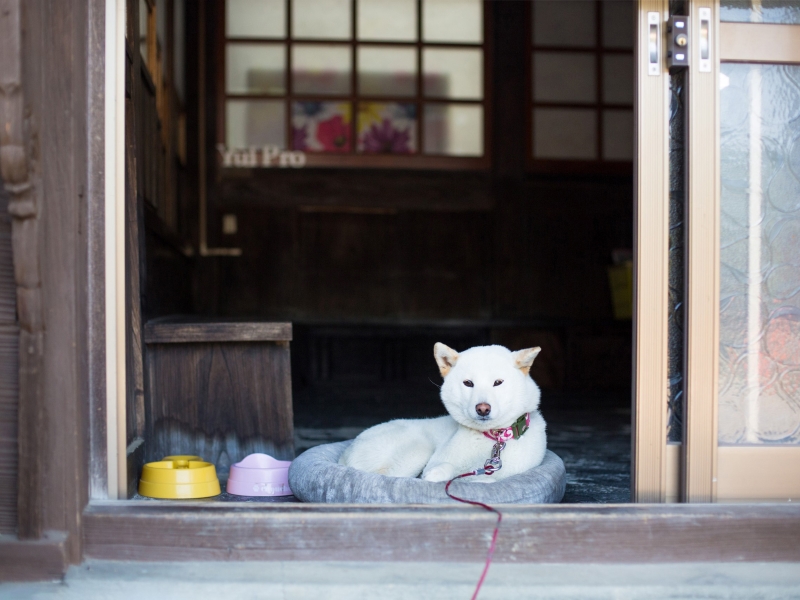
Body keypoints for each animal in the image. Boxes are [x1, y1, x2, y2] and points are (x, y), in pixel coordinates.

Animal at [334, 342, 548, 482]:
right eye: (468, 383)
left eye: (498, 382)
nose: (482, 408)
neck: (494, 439)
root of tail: (345, 454)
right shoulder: (438, 461)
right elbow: (445, 469)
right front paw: (436, 475)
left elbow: (485, 479)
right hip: (417, 451)